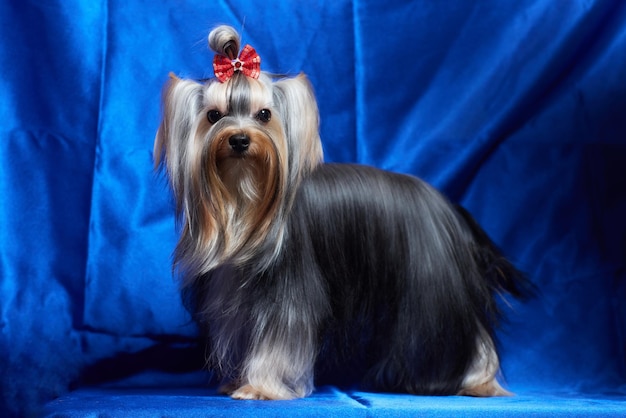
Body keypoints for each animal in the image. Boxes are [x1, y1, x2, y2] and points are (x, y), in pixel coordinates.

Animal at [152, 24, 528, 400]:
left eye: (264, 115)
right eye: (214, 116)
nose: (240, 140)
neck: (244, 200)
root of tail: (445, 207)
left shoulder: (288, 297)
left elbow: (278, 342)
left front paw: (260, 387)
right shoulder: (235, 297)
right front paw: (237, 382)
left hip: (432, 288)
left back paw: (475, 380)